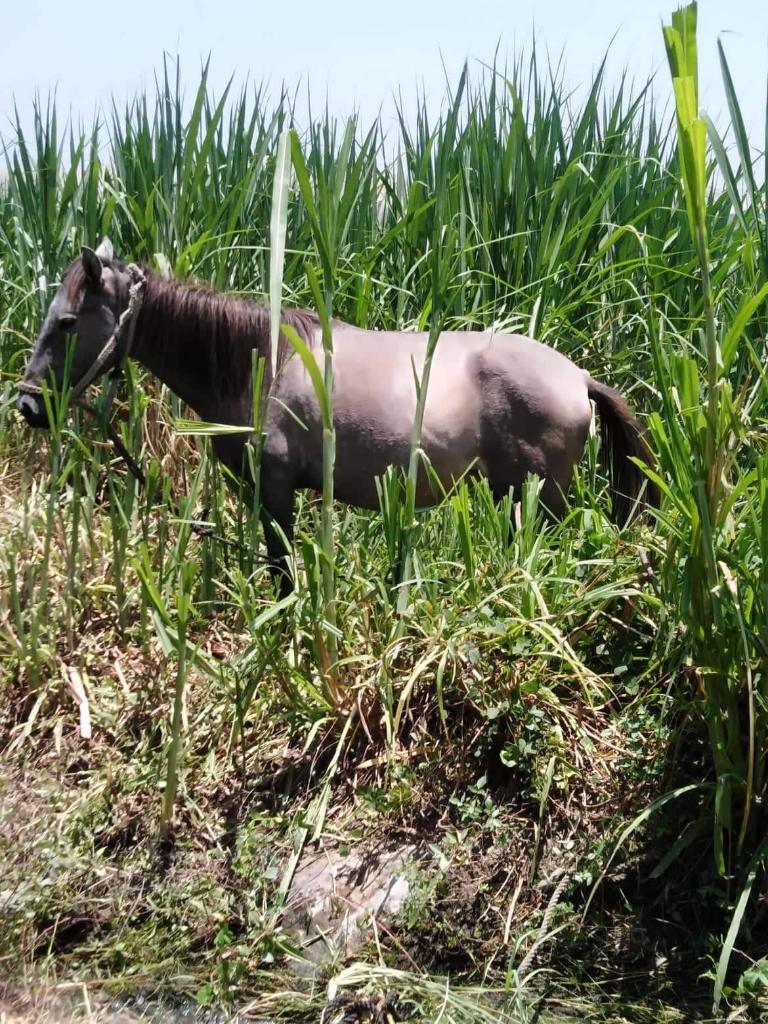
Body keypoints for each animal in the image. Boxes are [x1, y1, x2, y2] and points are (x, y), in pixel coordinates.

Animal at [15, 239, 659, 593]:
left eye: (67, 322)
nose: (25, 404)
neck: (261, 362)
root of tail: (577, 377)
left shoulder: (275, 488)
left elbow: (281, 566)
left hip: (542, 496)